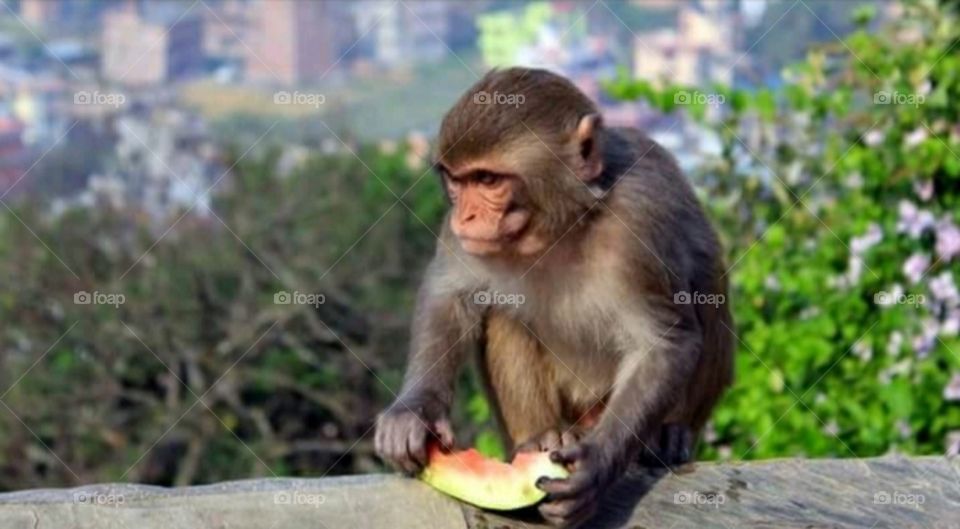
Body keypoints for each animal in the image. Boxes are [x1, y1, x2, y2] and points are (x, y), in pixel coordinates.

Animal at [374, 67, 734, 527]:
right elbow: (448, 293)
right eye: (457, 181)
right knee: (503, 317)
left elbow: (664, 343)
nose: (464, 216)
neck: (560, 225)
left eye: (487, 180)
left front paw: (595, 467)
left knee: (707, 289)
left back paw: (666, 436)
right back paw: (538, 438)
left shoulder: (638, 218)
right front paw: (415, 412)